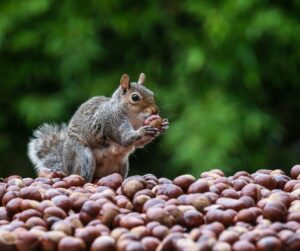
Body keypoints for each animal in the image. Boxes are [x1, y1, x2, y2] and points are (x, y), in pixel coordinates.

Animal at [27, 73, 169, 181]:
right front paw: (143, 131)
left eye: (152, 93)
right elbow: (125, 138)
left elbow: (139, 143)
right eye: (135, 97)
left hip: (122, 165)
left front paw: (162, 126)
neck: (133, 117)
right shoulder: (112, 121)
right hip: (84, 158)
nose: (155, 111)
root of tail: (67, 168)